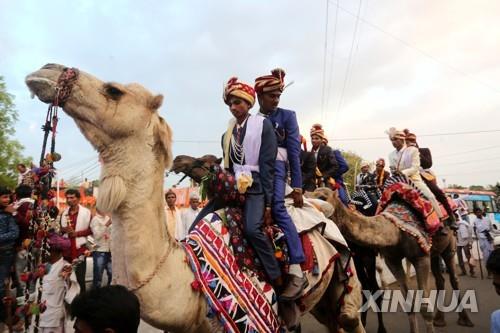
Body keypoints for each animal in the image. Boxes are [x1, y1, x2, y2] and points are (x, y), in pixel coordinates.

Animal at [306, 188, 474, 330]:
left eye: (322, 197)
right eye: (309, 194)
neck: (396, 230)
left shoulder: (420, 257)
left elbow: (425, 308)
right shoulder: (392, 260)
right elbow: (409, 305)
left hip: (450, 244)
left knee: (453, 278)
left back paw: (466, 320)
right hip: (434, 252)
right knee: (439, 279)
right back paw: (440, 319)